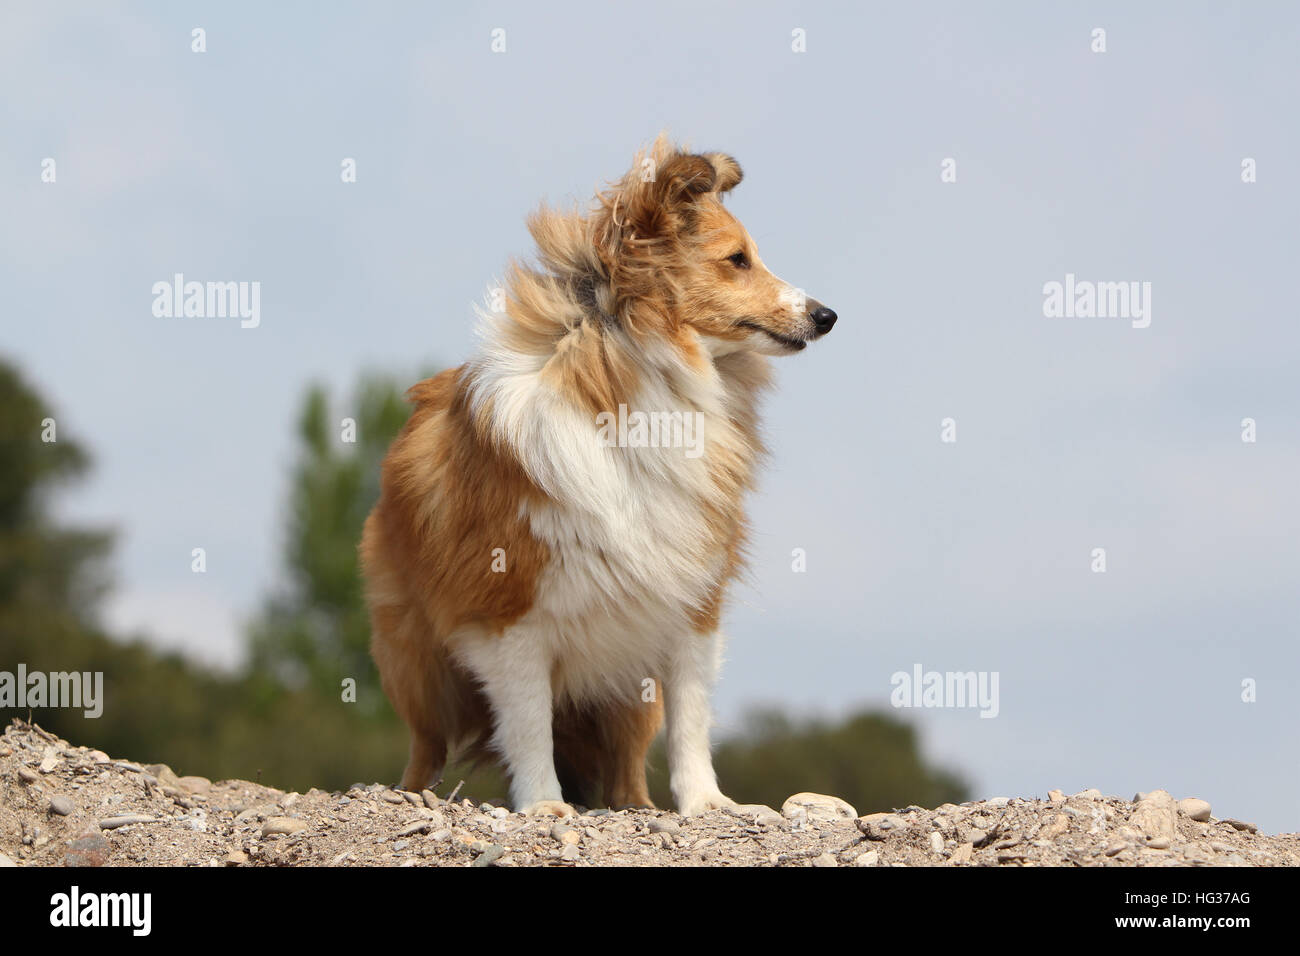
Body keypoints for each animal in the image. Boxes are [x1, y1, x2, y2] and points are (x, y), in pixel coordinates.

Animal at [361, 138, 837, 816]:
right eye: (737, 260)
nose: (827, 316)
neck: (648, 379)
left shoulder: (691, 601)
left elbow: (692, 716)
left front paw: (708, 804)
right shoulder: (510, 613)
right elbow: (528, 721)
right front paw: (543, 805)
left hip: (626, 689)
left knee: (628, 761)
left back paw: (638, 807)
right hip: (418, 665)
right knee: (426, 744)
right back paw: (409, 795)